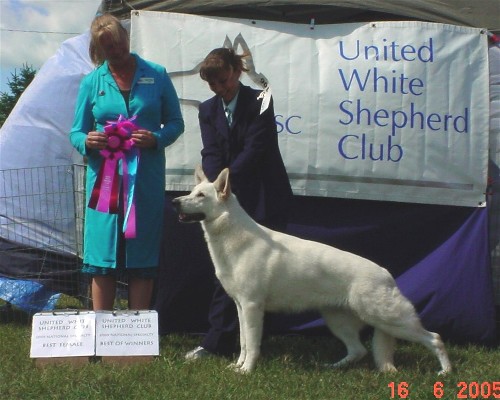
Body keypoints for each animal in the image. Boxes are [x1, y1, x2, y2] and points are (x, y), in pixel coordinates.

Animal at [171, 166, 450, 376]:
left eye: (201, 195)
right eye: (191, 192)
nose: (174, 202)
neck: (234, 237)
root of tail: (386, 274)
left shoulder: (252, 307)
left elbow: (252, 344)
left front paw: (246, 371)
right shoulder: (241, 307)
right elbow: (242, 342)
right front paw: (237, 366)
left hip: (389, 320)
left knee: (435, 338)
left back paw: (445, 372)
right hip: (338, 321)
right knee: (358, 350)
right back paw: (333, 368)